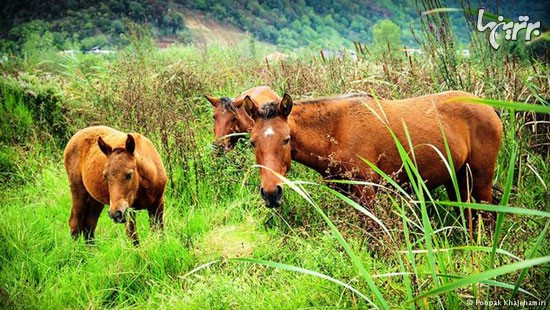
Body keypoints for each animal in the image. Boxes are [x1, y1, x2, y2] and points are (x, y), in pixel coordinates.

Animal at [246, 91, 504, 209]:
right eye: (252, 142)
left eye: (286, 139)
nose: (271, 193)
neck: (337, 131)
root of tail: (491, 109)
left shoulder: (367, 192)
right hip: (457, 181)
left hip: (481, 183)